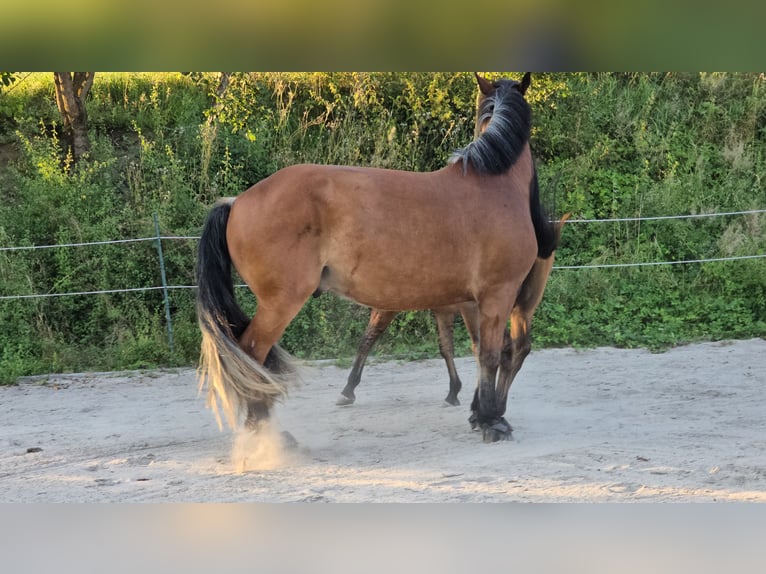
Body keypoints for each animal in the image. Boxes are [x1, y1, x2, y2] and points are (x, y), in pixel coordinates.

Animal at [336, 214, 568, 412]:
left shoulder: (388, 307)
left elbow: (366, 340)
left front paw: (347, 390)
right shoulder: (443, 311)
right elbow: (446, 348)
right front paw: (453, 391)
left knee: (497, 348)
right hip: (520, 310)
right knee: (516, 347)